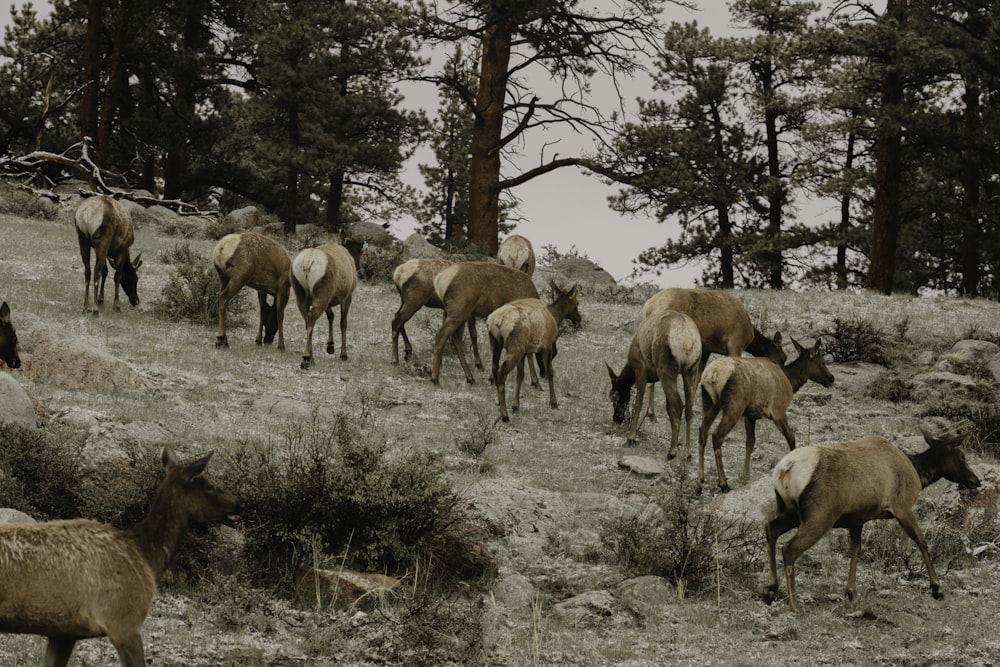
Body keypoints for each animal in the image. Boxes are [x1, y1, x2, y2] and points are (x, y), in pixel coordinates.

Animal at [292, 241, 358, 370]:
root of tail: (307, 262)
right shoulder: (347, 296)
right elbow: (343, 323)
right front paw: (343, 354)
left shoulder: (329, 300)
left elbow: (331, 316)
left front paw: (330, 346)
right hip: (321, 294)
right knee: (311, 319)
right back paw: (306, 358)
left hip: (300, 294)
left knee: (307, 320)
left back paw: (311, 358)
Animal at [490, 284, 584, 420]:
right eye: (577, 303)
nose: (579, 318)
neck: (554, 317)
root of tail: (496, 320)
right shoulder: (547, 345)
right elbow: (550, 372)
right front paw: (553, 402)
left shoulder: (525, 351)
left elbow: (520, 376)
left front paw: (516, 405)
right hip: (515, 347)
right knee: (501, 372)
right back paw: (504, 415)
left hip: (496, 343)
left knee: (494, 368)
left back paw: (499, 402)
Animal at [696, 340, 836, 490]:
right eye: (823, 362)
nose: (831, 378)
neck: (790, 381)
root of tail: (712, 375)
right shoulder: (778, 410)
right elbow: (791, 437)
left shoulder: (750, 415)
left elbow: (750, 442)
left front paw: (745, 474)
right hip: (734, 406)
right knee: (716, 436)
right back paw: (723, 483)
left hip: (710, 402)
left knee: (702, 431)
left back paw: (700, 479)